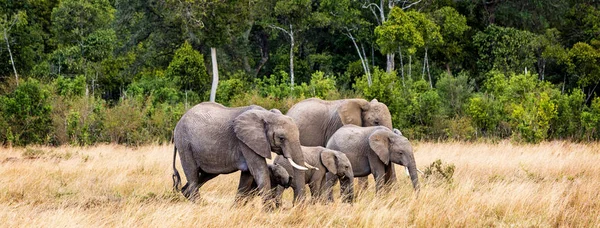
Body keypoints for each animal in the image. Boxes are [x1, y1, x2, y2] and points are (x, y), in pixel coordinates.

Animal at [171, 103, 308, 208]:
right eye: (281, 138)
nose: (297, 207)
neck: (266, 114)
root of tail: (178, 123)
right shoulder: (245, 142)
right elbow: (259, 171)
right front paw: (269, 211)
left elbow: (247, 176)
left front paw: (235, 209)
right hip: (185, 144)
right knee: (192, 173)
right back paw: (201, 205)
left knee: (205, 174)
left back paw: (192, 198)